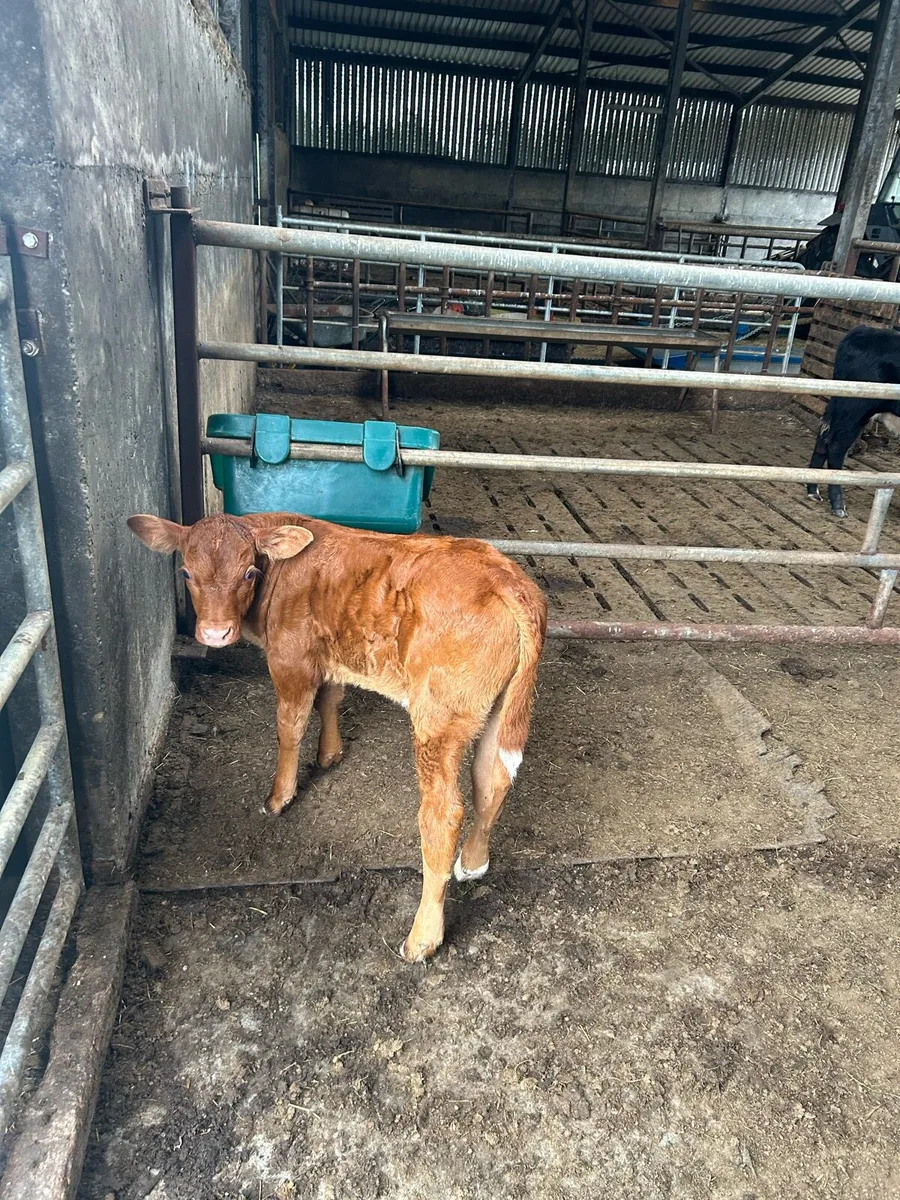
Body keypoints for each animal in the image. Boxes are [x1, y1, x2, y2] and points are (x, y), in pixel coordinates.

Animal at [128, 511, 547, 963]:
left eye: (248, 572)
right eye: (187, 572)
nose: (215, 633)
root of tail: (505, 578)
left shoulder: (290, 660)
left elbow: (290, 726)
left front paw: (279, 797)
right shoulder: (326, 655)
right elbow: (330, 698)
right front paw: (329, 755)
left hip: (439, 716)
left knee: (443, 814)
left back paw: (422, 938)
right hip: (499, 708)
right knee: (491, 780)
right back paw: (473, 862)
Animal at [807, 325, 900, 517]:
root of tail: (864, 330)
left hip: (840, 405)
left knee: (823, 437)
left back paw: (813, 491)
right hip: (856, 407)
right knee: (836, 446)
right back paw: (838, 505)